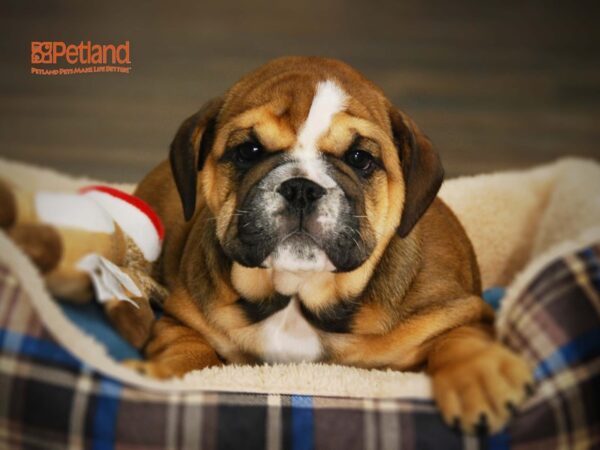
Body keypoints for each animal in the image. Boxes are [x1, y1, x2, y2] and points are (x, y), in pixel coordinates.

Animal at [132, 56, 536, 432]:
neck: (299, 295)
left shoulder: (459, 312)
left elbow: (461, 340)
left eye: (360, 158)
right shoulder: (182, 317)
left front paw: (479, 380)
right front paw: (161, 378)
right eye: (248, 151)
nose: (301, 188)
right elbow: (187, 349)